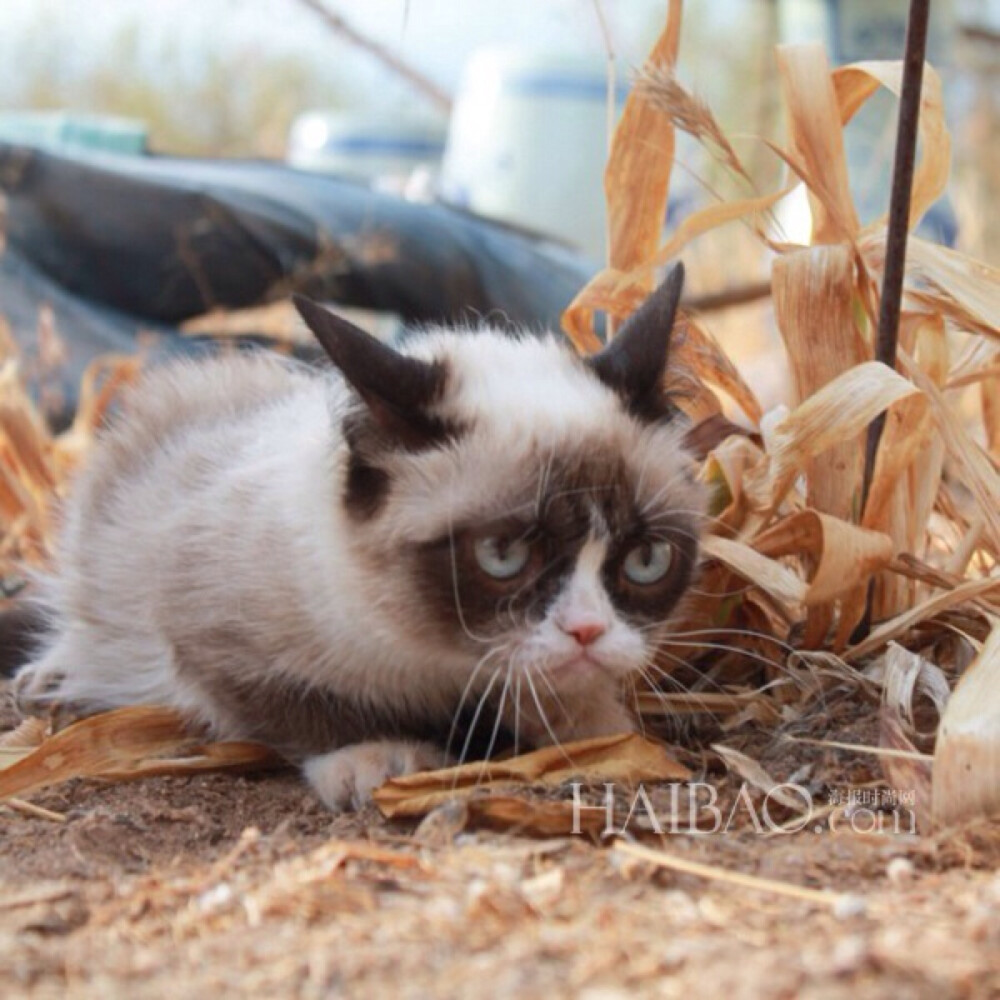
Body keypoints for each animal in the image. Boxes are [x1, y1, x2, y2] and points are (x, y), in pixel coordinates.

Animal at [11, 262, 708, 808]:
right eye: (503, 554)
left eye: (647, 560)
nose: (587, 631)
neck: (440, 659)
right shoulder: (207, 631)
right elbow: (306, 707)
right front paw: (377, 757)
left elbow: (562, 696)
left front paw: (602, 730)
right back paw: (50, 677)